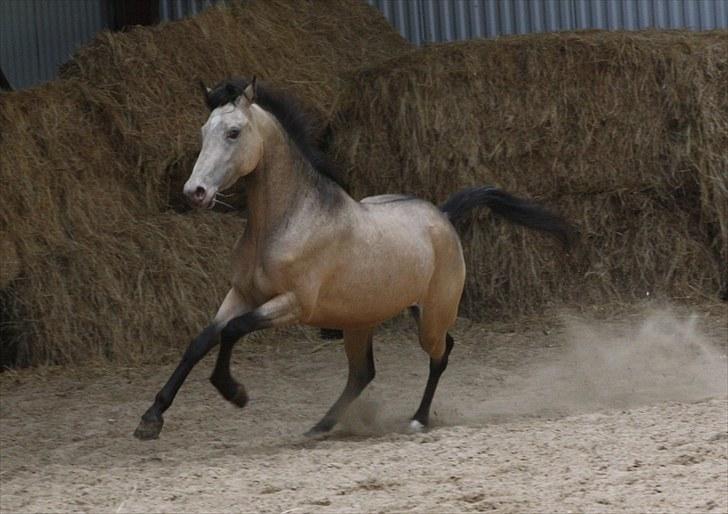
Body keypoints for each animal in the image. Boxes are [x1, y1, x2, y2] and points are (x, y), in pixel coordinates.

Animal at [132, 78, 576, 438]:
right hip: (359, 320)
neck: (287, 221)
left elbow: (232, 331)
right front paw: (150, 419)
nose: (195, 192)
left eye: (233, 132)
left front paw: (234, 392)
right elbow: (200, 341)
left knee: (441, 352)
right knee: (363, 373)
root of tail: (444, 215)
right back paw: (321, 426)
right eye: (203, 130)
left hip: (431, 315)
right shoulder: (241, 294)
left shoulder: (294, 304)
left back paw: (418, 420)